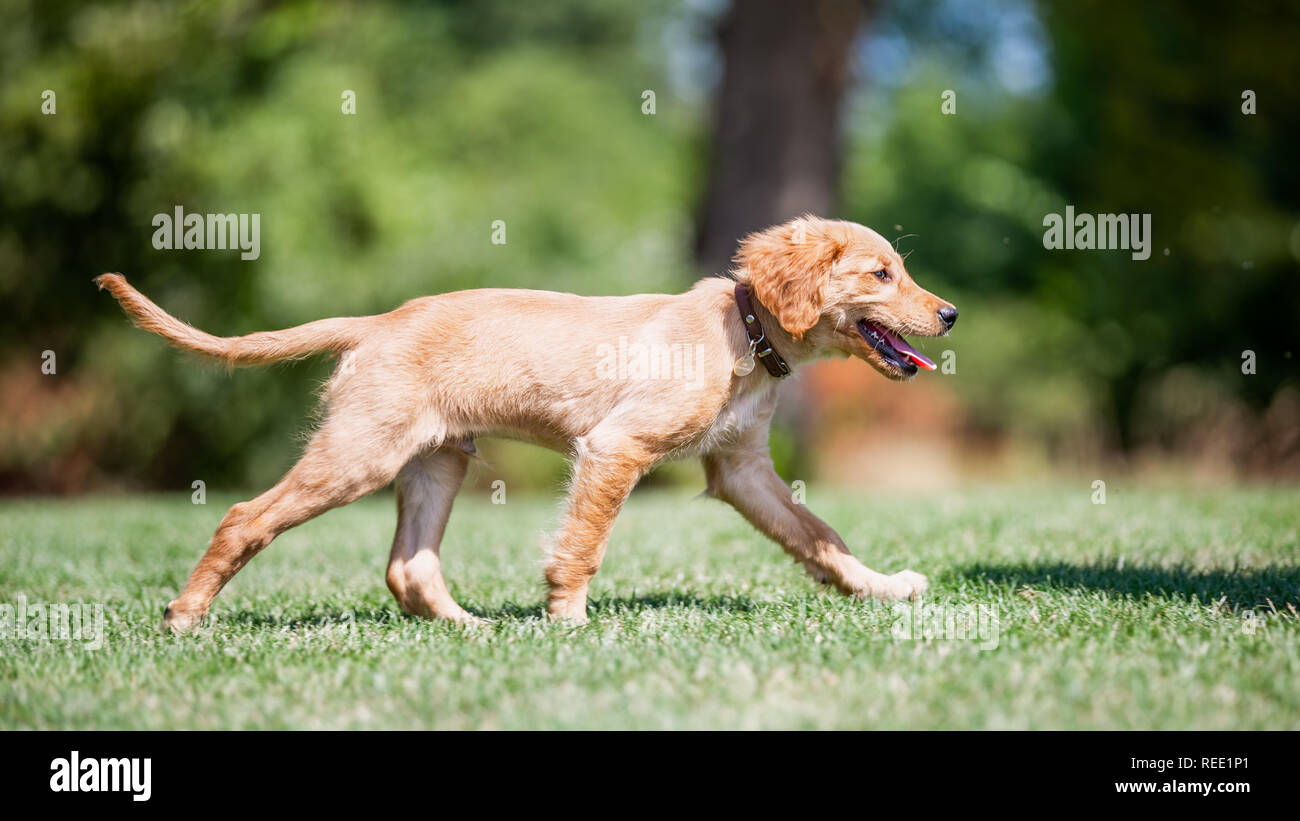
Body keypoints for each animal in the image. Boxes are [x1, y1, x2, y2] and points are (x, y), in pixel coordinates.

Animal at [96, 213, 956, 628]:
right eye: (883, 274)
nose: (949, 314)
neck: (741, 330)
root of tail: (377, 320)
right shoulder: (615, 447)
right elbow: (584, 543)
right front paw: (569, 621)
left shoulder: (742, 469)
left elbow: (820, 537)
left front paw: (882, 587)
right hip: (359, 453)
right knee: (245, 514)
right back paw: (184, 616)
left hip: (436, 458)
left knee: (408, 567)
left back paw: (471, 629)